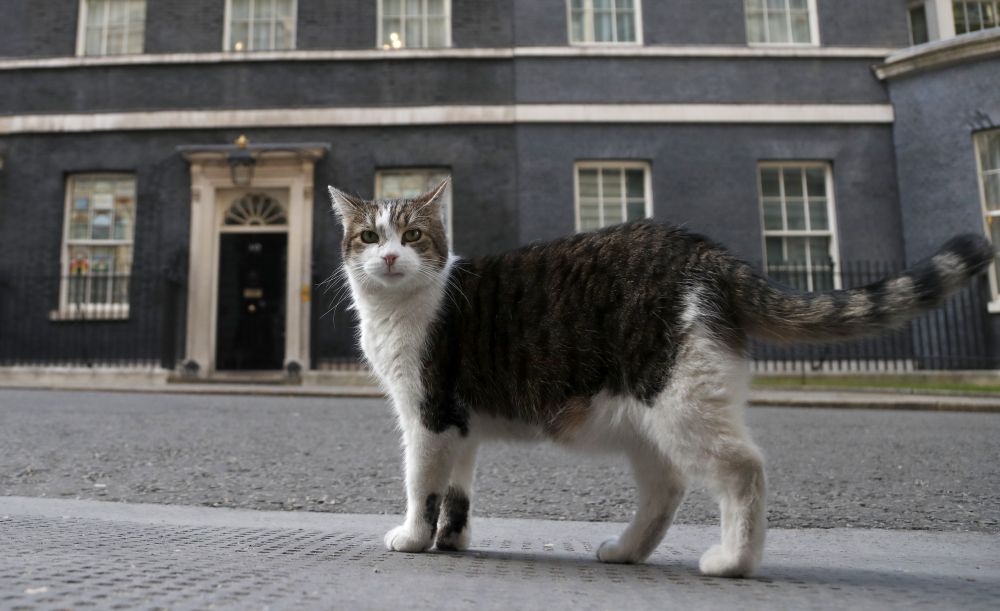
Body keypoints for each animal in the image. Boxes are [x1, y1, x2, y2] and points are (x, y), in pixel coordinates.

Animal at [326, 182, 992, 580]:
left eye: (413, 235)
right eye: (369, 236)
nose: (389, 257)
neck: (403, 308)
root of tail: (707, 253)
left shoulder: (428, 414)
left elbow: (422, 485)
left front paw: (414, 538)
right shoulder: (461, 427)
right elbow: (458, 491)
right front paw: (452, 541)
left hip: (680, 402)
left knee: (743, 470)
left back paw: (733, 561)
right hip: (646, 420)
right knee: (666, 488)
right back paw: (626, 551)